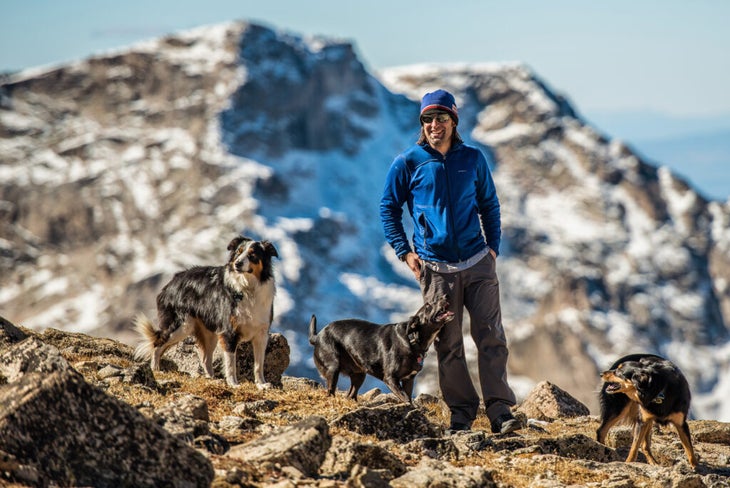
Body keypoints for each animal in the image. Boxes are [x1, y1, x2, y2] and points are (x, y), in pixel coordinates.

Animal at [134, 236, 276, 388]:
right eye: (238, 252)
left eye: (252, 255)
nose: (237, 264)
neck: (248, 288)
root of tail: (171, 282)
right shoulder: (229, 332)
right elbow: (231, 364)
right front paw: (233, 384)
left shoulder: (261, 333)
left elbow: (259, 364)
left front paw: (262, 384)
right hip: (182, 326)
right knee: (158, 343)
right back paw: (155, 369)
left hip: (209, 333)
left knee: (205, 358)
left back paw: (212, 378)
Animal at [306, 298, 452, 404]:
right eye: (428, 305)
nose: (445, 296)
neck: (412, 340)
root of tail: (317, 336)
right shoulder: (391, 378)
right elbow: (405, 398)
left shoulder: (408, 379)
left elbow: (408, 397)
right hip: (333, 367)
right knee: (331, 391)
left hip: (359, 374)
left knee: (351, 394)